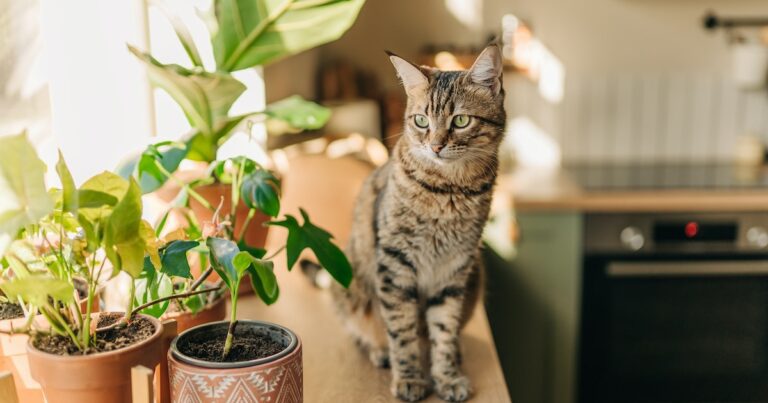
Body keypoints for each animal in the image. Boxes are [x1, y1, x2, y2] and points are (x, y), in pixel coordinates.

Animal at [316, 45, 508, 403]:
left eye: (461, 120)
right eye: (421, 121)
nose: (436, 145)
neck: (449, 191)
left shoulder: (454, 269)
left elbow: (444, 329)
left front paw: (447, 376)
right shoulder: (395, 264)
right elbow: (402, 331)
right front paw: (408, 376)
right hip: (347, 282)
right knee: (362, 331)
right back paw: (380, 351)